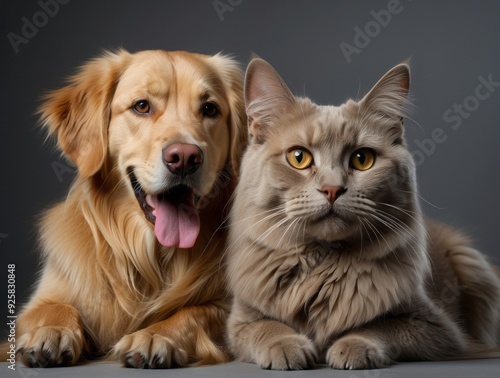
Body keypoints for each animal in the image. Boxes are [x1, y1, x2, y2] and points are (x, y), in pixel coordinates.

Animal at [5, 48, 246, 368]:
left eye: (210, 109)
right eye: (141, 106)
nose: (184, 158)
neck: (149, 257)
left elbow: (193, 312)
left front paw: (155, 335)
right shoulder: (39, 301)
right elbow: (53, 307)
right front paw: (50, 331)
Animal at [227, 58, 500, 370]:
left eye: (362, 159)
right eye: (299, 157)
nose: (332, 189)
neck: (324, 265)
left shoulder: (434, 327)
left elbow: (378, 326)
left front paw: (352, 347)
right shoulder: (241, 320)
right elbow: (268, 327)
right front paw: (287, 347)